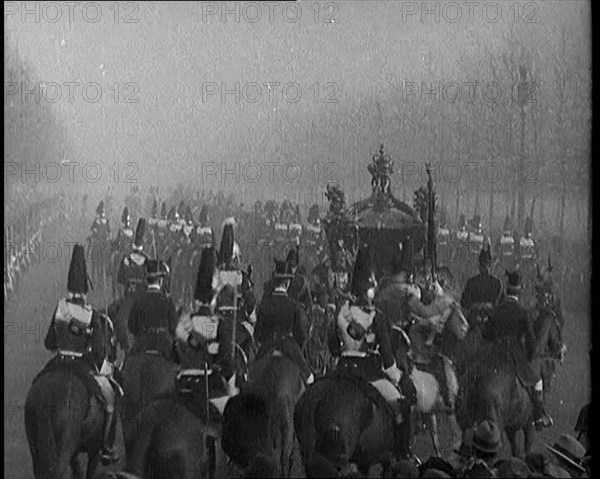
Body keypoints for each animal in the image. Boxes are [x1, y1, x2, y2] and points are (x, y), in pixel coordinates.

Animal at [24, 316, 114, 476]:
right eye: (109, 332)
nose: (112, 357)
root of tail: (48, 396)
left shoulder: (76, 455)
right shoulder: (94, 453)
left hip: (36, 449)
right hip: (63, 449)